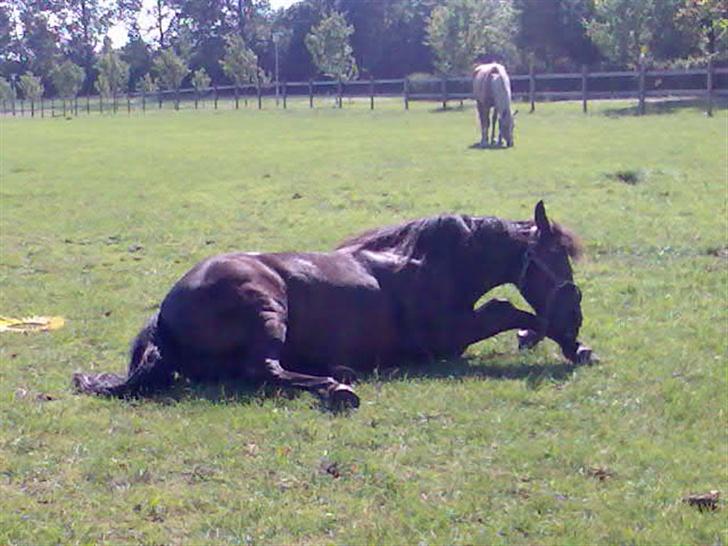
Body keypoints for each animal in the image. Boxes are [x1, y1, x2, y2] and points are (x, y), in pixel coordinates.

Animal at [73, 201, 593, 409]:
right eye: (555, 256)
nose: (576, 315)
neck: (428, 262)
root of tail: (164, 316)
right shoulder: (448, 339)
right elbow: (509, 308)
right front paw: (563, 342)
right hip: (268, 311)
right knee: (264, 370)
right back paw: (336, 388)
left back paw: (339, 373)